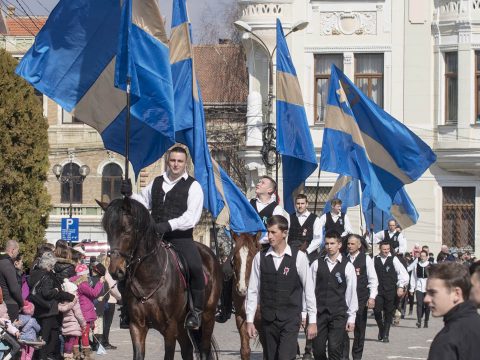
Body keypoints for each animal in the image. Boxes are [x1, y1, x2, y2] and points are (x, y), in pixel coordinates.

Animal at [100, 198, 224, 358]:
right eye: (107, 231)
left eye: (126, 230)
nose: (115, 271)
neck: (149, 279)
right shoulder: (137, 326)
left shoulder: (169, 328)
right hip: (182, 325)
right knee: (187, 348)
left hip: (207, 317)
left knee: (203, 349)